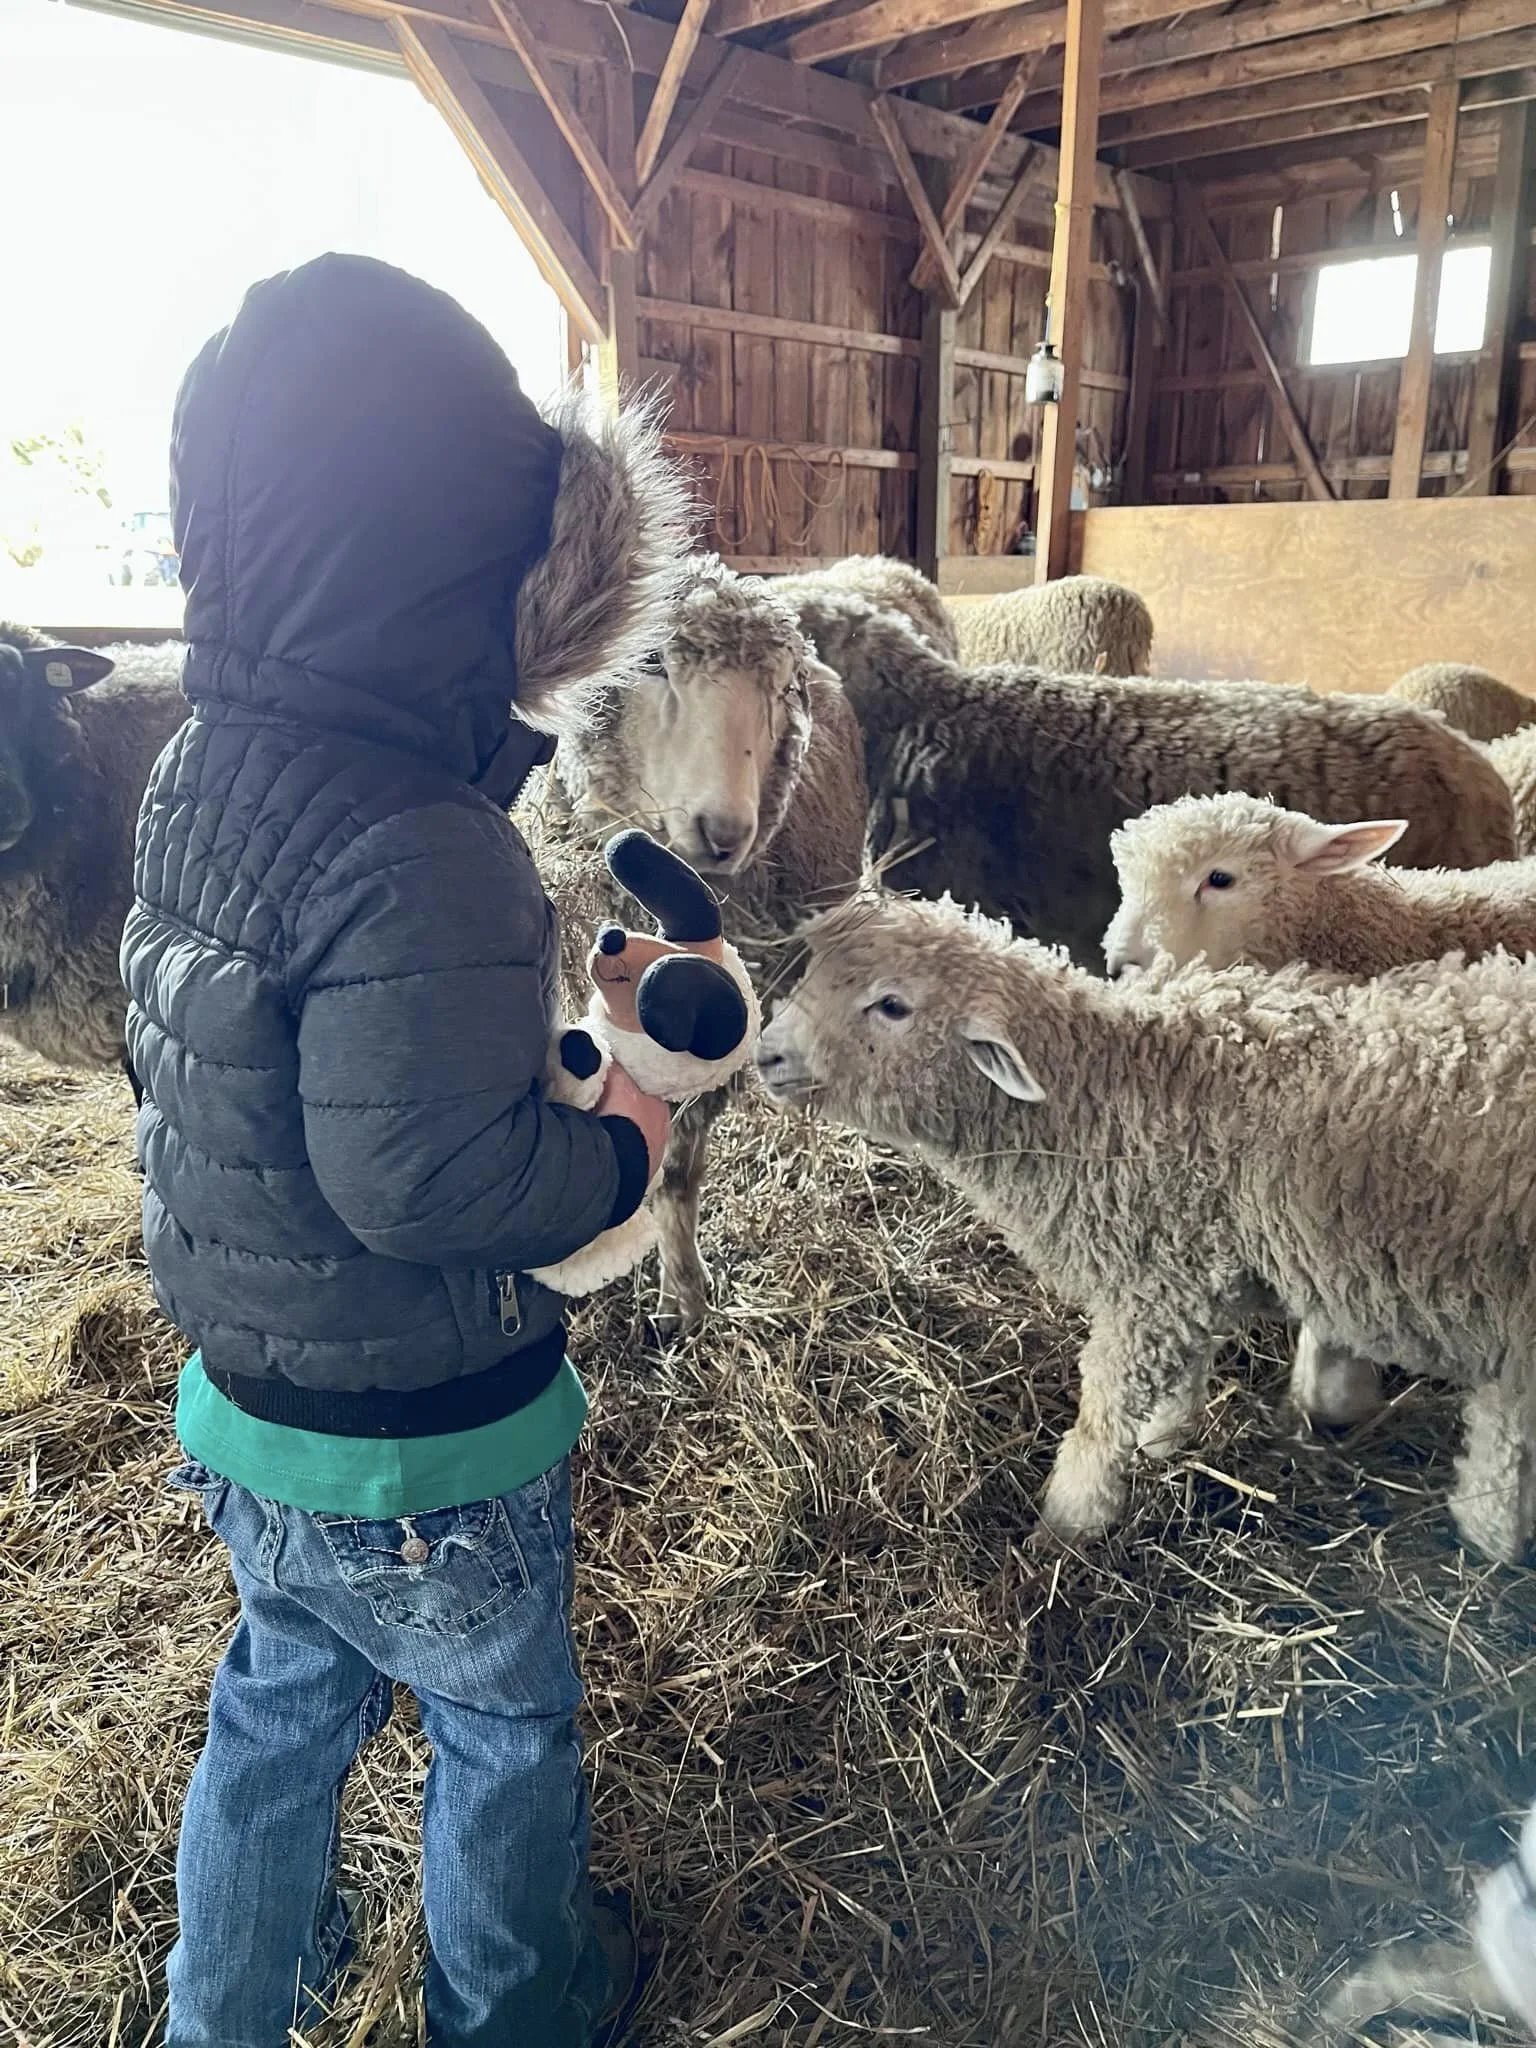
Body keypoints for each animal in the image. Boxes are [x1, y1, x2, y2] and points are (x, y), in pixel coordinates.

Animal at [754, 888, 1536, 1564]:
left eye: (891, 1005)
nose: (765, 1052)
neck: (1110, 1100)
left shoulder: (1151, 1292)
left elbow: (1102, 1418)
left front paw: (1064, 1526)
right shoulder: (1187, 1269)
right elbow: (1185, 1377)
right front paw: (1165, 1444)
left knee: (1505, 1431)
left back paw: (1490, 1536)